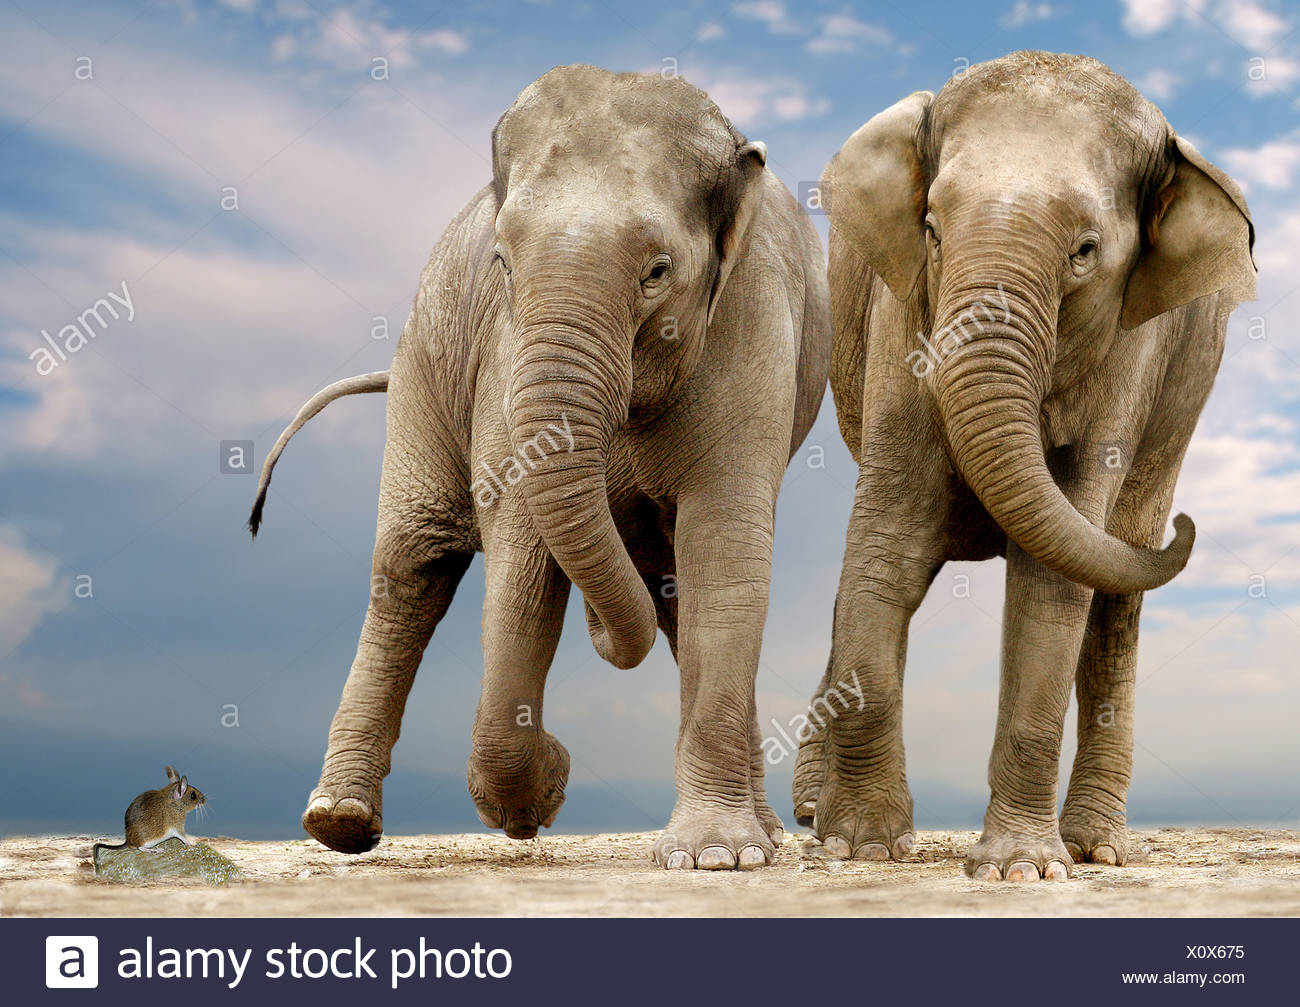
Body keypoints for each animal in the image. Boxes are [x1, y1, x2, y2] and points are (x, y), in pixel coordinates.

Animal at [250, 65, 831, 870]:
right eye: (502, 261)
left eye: (657, 272)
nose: (560, 763)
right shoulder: (503, 345)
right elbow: (522, 551)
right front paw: (540, 796)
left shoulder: (751, 320)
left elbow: (723, 546)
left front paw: (716, 857)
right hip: (424, 361)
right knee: (413, 563)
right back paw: (339, 822)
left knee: (684, 599)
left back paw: (768, 835)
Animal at [792, 51, 1254, 881]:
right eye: (932, 229)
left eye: (1085, 251)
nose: (1187, 523)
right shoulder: (902, 312)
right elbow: (884, 548)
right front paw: (866, 844)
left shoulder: (1132, 348)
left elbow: (1053, 580)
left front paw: (1022, 869)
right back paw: (816, 816)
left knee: (1115, 585)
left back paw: (1098, 847)